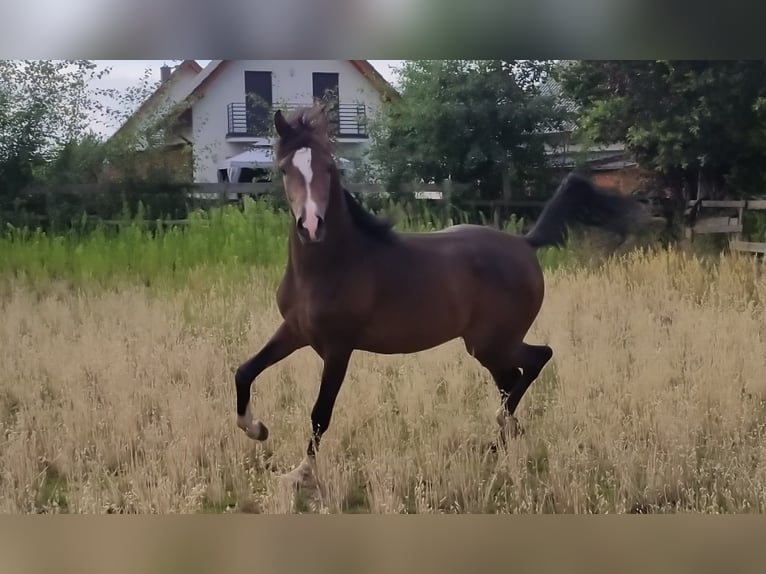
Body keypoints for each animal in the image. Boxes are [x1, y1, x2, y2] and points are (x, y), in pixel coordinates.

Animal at [234, 105, 646, 488]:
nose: (311, 226)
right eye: (284, 168)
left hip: (491, 342)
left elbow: (320, 412)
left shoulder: (338, 348)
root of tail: (525, 244)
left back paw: (501, 432)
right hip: (488, 346)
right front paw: (256, 429)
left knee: (537, 359)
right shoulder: (295, 331)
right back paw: (504, 440)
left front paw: (300, 474)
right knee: (512, 378)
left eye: (329, 168)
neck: (334, 265)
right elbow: (244, 371)